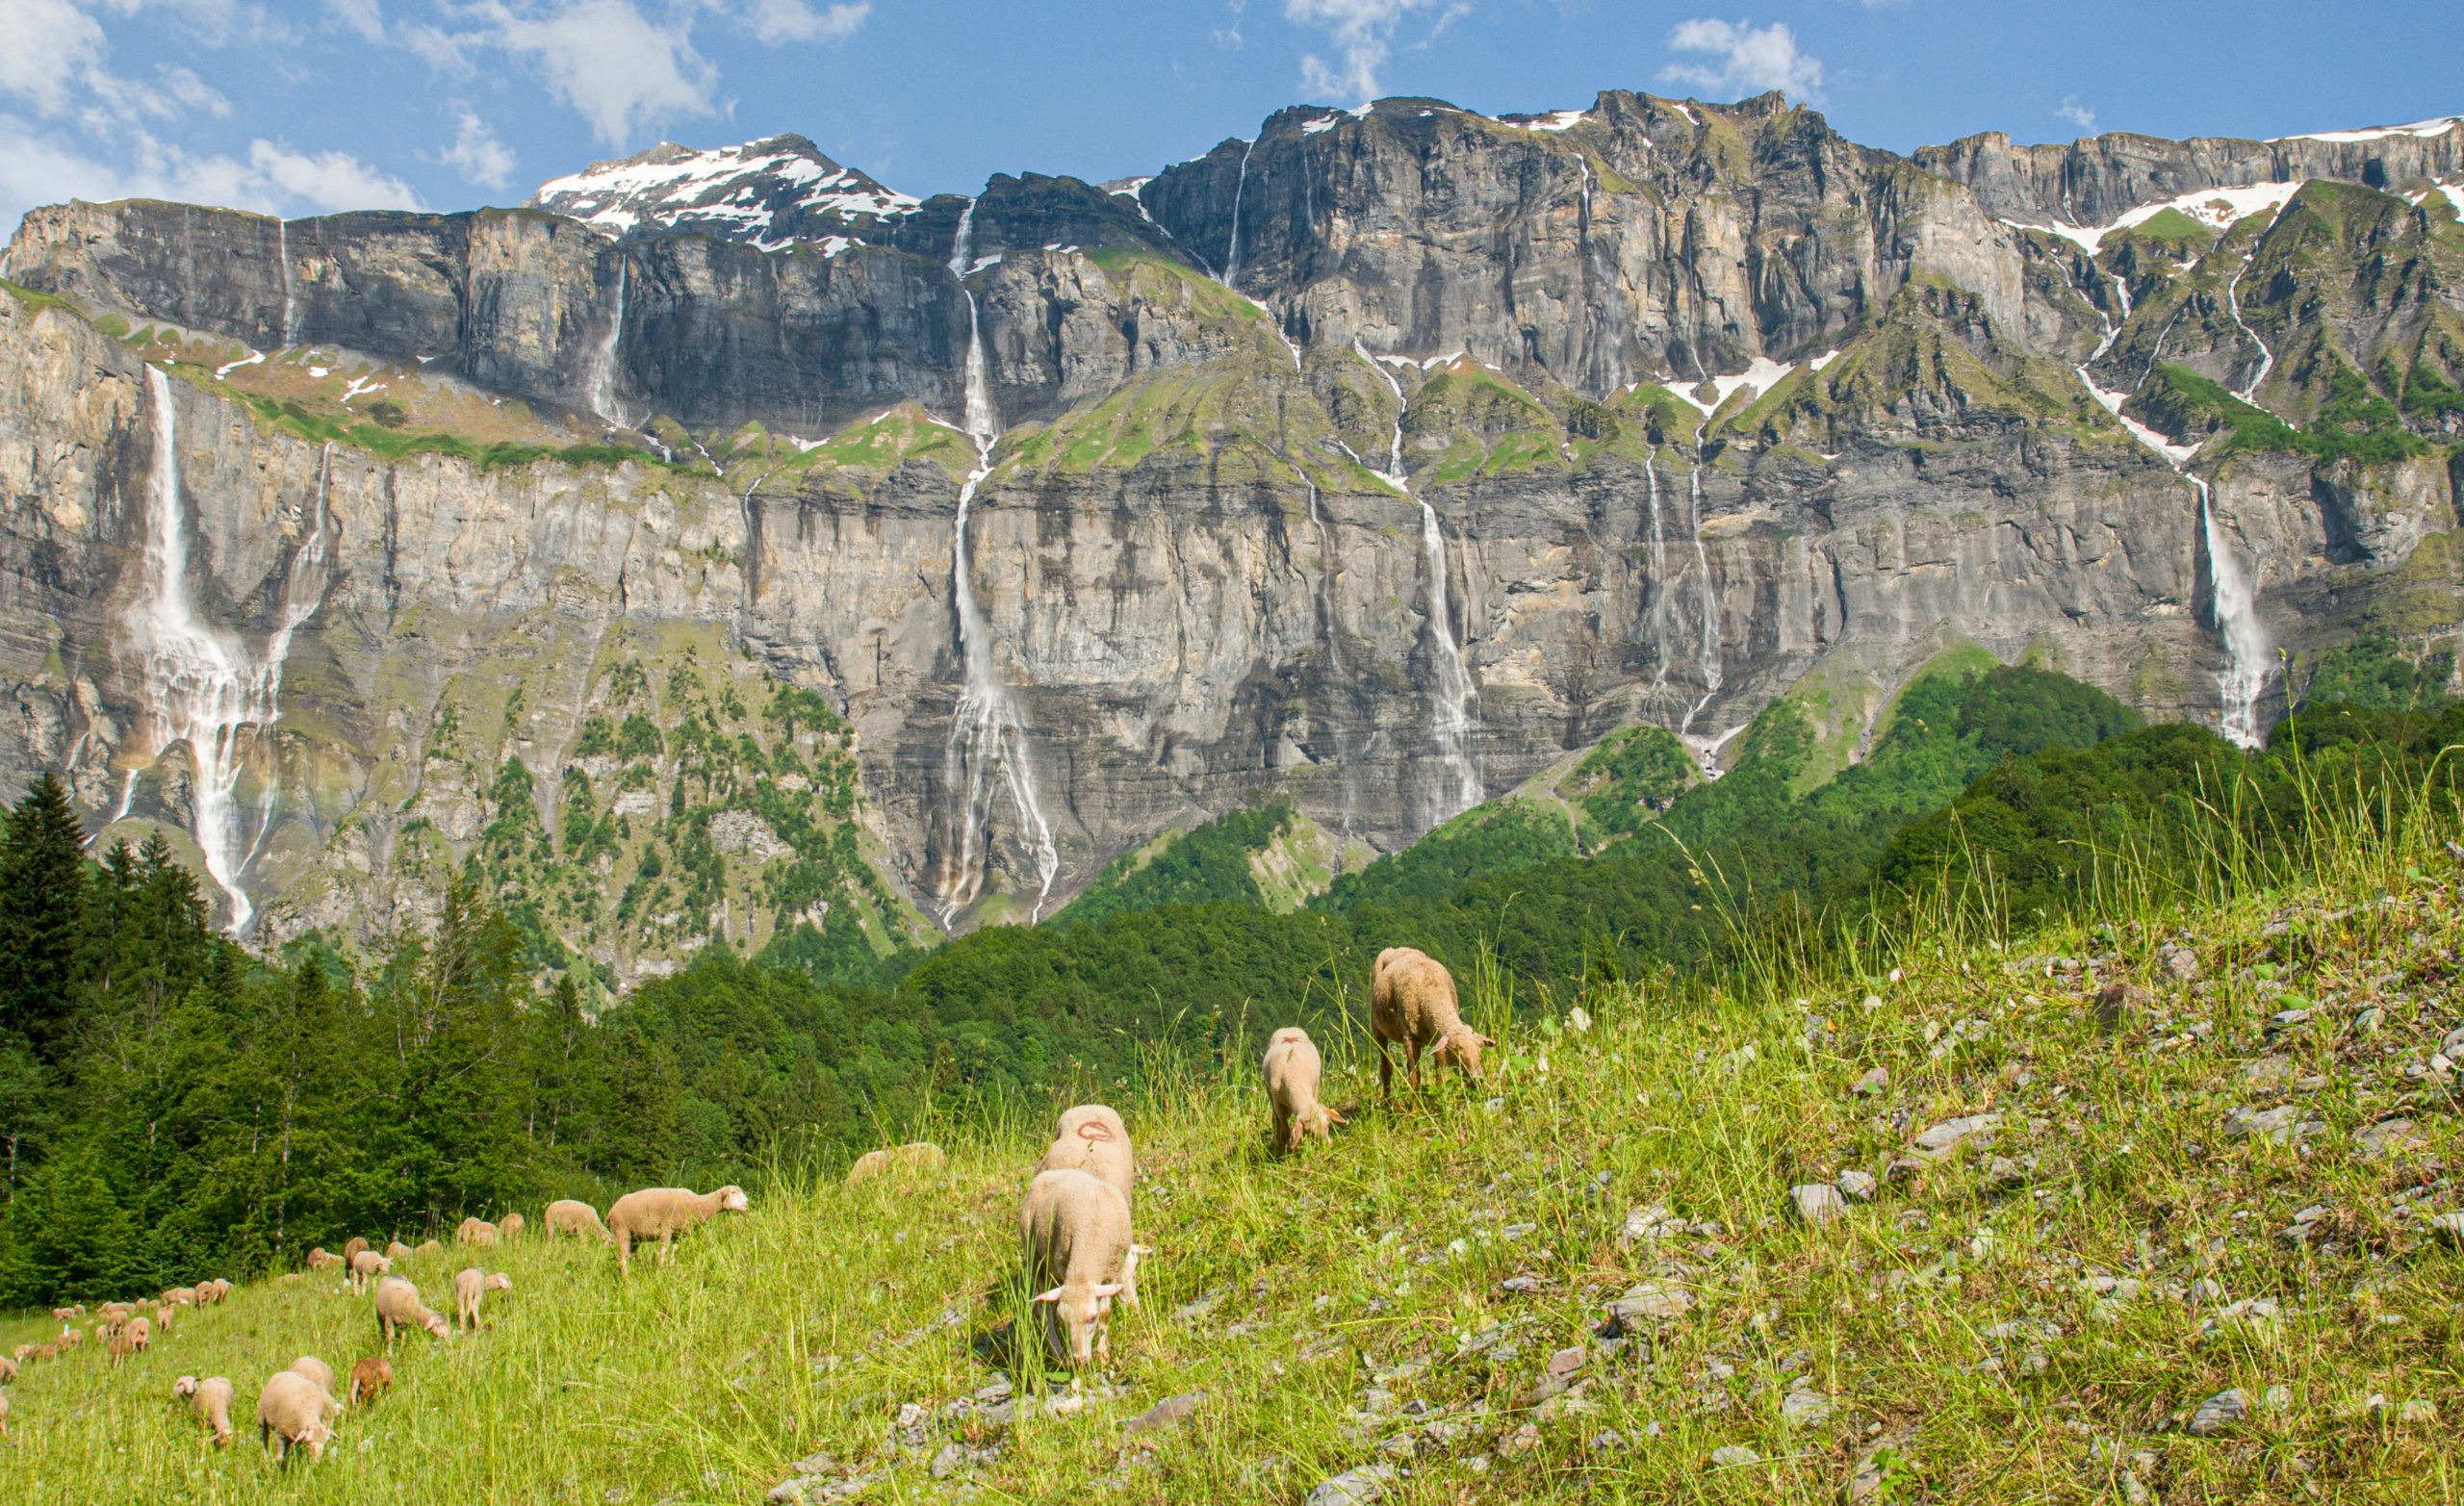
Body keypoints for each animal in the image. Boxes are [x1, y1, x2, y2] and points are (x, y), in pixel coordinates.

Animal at [605, 1185, 750, 1277]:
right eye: (733, 1192)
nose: (747, 1203)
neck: (696, 1205)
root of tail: (611, 1211)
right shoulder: (666, 1228)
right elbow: (663, 1252)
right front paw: (660, 1272)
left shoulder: (678, 1234)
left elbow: (673, 1252)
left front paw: (671, 1267)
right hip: (622, 1230)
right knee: (622, 1259)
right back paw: (627, 1280)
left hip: (635, 1237)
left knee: (629, 1256)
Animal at [1018, 1168, 1133, 1366]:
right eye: (1063, 1319)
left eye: (1092, 1318)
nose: (1080, 1359)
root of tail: (1046, 1174)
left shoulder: (1112, 1270)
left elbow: (1105, 1311)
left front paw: (1103, 1353)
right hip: (1036, 1262)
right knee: (1044, 1311)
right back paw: (1059, 1355)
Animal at [1263, 1026, 1346, 1152]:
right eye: (1311, 1132)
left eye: (1328, 1125)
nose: (1329, 1146)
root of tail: (1288, 1028)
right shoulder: (1278, 1103)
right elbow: (1284, 1125)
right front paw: (1285, 1149)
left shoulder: (1314, 1090)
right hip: (1269, 1091)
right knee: (1276, 1119)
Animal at [1369, 946, 1493, 1097]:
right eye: (1456, 1050)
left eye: (1480, 1049)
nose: (1478, 1078)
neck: (1432, 988)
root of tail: (1396, 948)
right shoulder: (1409, 1035)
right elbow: (1414, 1075)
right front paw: (1415, 1104)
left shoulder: (1438, 1037)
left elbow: (1439, 1069)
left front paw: (1440, 1094)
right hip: (1377, 1027)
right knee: (1386, 1067)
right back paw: (1387, 1100)